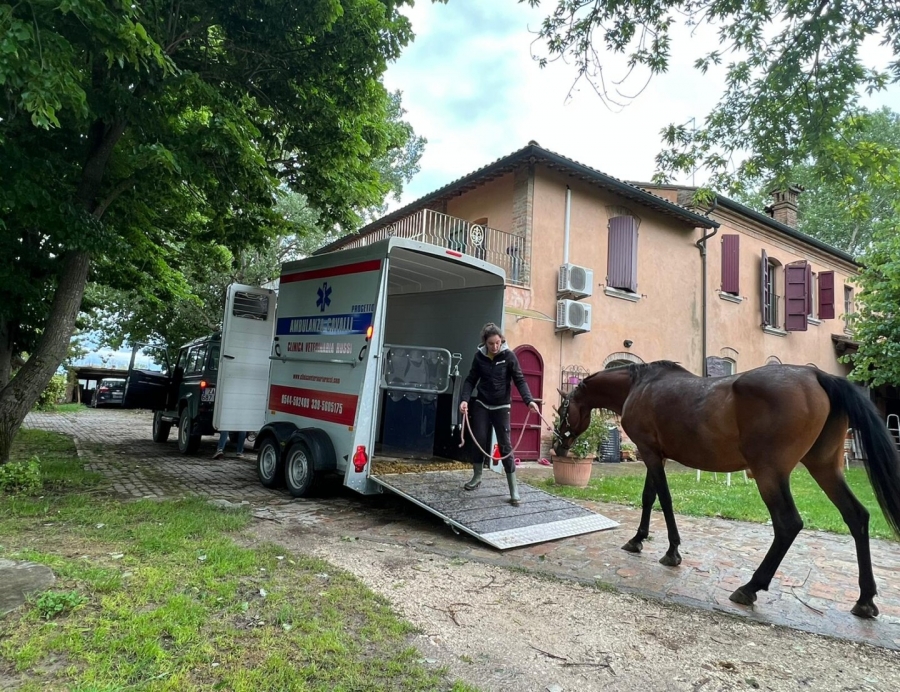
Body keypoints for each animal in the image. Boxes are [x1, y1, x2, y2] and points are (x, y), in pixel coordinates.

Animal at [552, 362, 900, 616]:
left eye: (562, 410)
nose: (557, 446)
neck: (640, 385)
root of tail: (816, 374)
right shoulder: (656, 455)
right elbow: (649, 497)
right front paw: (638, 540)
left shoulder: (650, 453)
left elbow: (663, 499)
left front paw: (672, 551)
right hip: (824, 467)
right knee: (857, 516)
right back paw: (865, 600)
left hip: (770, 473)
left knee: (788, 524)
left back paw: (750, 587)